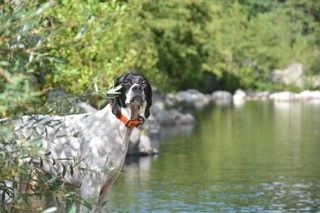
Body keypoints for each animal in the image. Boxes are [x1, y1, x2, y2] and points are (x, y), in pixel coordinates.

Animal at [10, 72, 152, 212]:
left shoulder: (105, 190)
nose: (137, 88)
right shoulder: (89, 189)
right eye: (126, 82)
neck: (115, 124)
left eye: (143, 83)